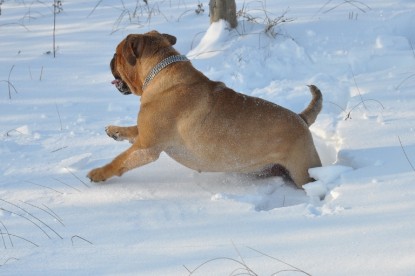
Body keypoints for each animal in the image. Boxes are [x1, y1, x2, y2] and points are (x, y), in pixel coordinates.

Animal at [87, 30, 322, 188]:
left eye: (116, 54)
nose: (110, 60)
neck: (160, 72)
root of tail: (301, 118)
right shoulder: (145, 132)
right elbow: (133, 128)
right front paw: (115, 130)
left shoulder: (147, 147)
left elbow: (120, 160)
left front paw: (99, 172)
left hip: (303, 171)